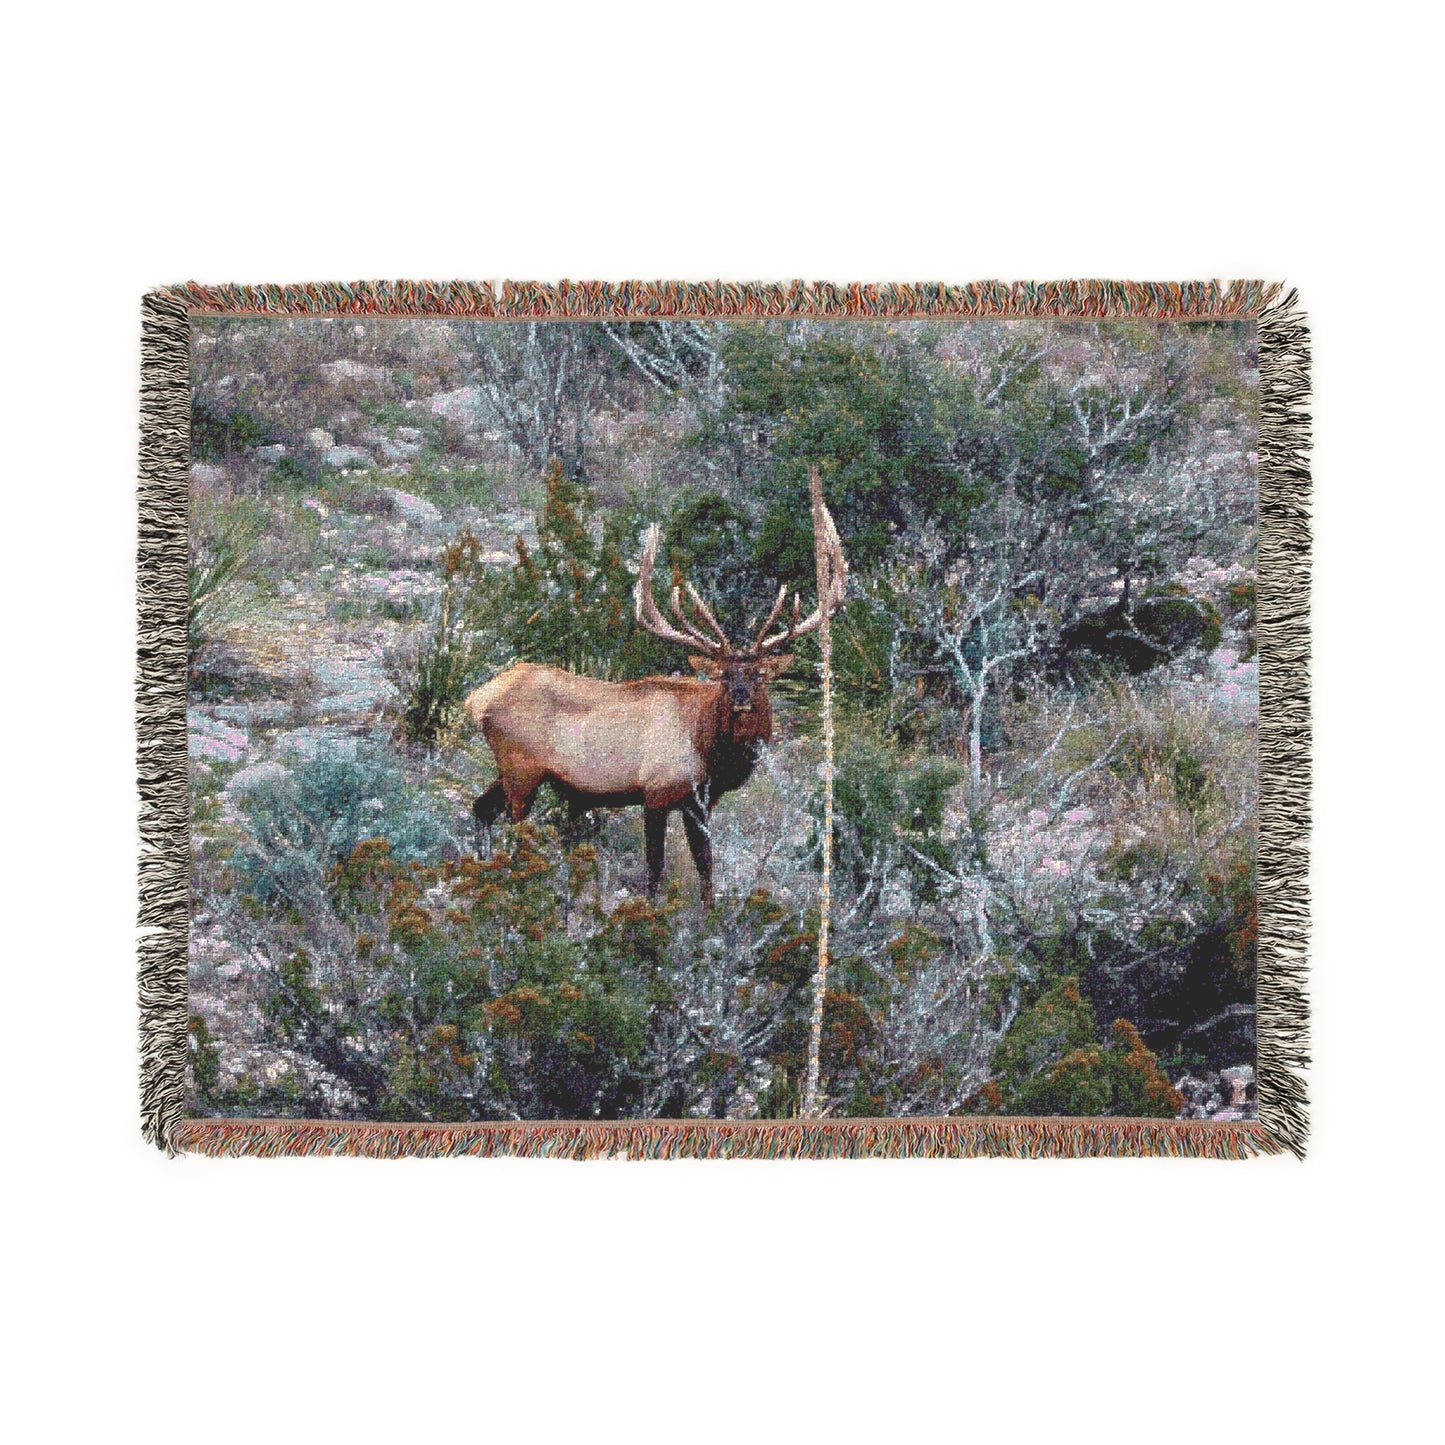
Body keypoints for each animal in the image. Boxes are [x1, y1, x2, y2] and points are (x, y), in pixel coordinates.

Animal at [465, 503, 848, 907]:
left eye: (758, 673)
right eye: (724, 675)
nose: (741, 696)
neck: (709, 751)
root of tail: (476, 699)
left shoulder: (699, 803)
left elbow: (705, 865)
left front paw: (710, 913)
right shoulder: (656, 790)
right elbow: (655, 867)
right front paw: (652, 910)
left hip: (512, 770)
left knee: (481, 808)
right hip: (522, 769)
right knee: (512, 829)